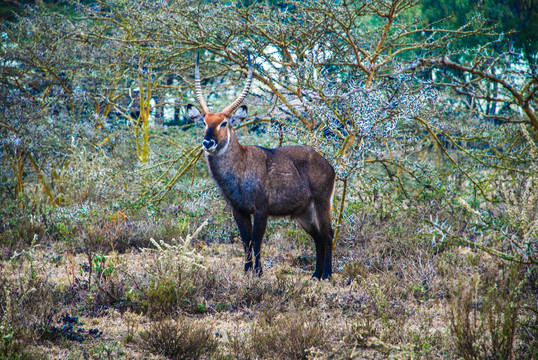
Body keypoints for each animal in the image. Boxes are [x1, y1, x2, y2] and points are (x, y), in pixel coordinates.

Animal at [186, 52, 332, 278]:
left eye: (224, 123)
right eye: (204, 122)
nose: (208, 143)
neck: (240, 166)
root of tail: (328, 165)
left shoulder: (262, 208)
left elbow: (257, 240)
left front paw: (259, 273)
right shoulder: (239, 210)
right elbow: (245, 240)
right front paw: (247, 272)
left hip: (322, 203)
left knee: (328, 235)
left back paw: (327, 275)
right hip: (303, 212)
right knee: (317, 237)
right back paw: (316, 275)